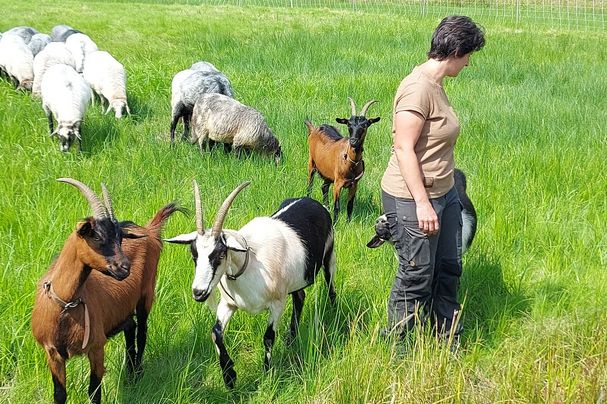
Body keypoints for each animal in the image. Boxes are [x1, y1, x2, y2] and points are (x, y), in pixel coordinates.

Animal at [32, 179, 180, 404]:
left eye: (119, 238)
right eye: (97, 237)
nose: (125, 268)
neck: (65, 305)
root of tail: (149, 229)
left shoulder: (96, 346)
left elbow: (94, 390)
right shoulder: (52, 353)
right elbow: (59, 394)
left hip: (146, 294)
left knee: (142, 331)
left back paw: (137, 374)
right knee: (131, 326)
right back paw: (129, 373)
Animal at [165, 181, 338, 388]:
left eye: (220, 254)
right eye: (194, 254)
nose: (198, 292)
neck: (251, 260)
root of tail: (314, 203)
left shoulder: (277, 304)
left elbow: (268, 337)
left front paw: (267, 374)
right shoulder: (229, 304)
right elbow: (215, 332)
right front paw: (230, 377)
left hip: (329, 256)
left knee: (330, 287)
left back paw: (335, 318)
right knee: (300, 296)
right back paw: (291, 339)